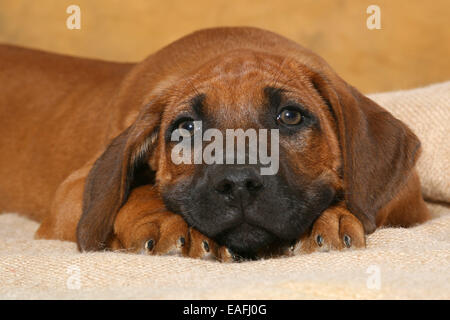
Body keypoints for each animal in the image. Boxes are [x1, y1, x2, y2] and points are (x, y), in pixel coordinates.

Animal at [0, 27, 428, 262]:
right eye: (186, 128)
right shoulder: (71, 195)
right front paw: (167, 222)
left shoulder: (409, 202)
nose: (237, 183)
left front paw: (328, 218)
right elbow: (136, 192)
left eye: (290, 116)